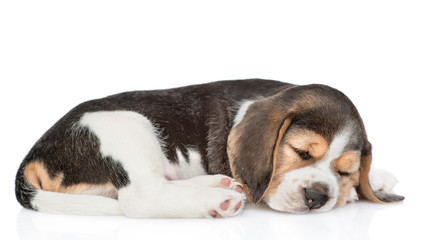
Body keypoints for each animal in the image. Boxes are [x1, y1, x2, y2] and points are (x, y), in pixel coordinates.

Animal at [15, 79, 406, 218]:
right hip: (127, 127)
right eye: (301, 153)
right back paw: (216, 199)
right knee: (140, 199)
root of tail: (34, 154)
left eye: (345, 170)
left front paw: (372, 180)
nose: (317, 196)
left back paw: (216, 185)